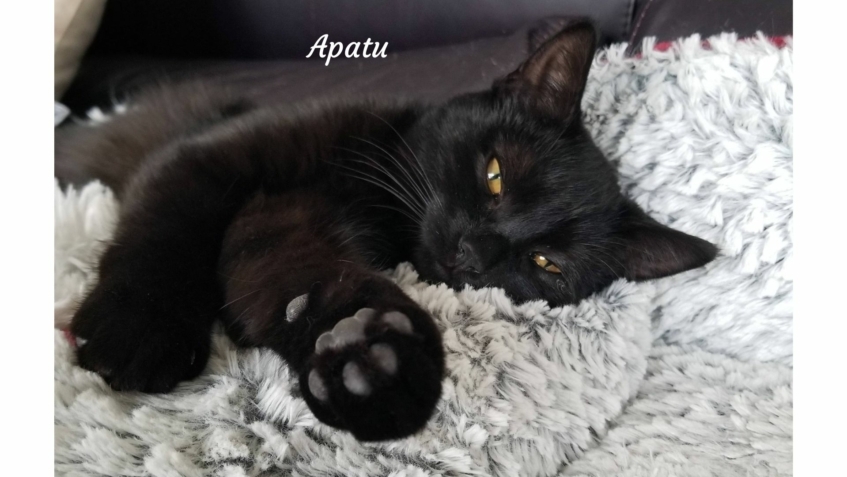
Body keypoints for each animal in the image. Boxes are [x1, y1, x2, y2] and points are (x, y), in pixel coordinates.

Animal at [55, 22, 717, 441]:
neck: (374, 200)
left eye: (546, 264)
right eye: (495, 175)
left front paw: (364, 353)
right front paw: (138, 329)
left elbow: (289, 279)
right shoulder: (208, 158)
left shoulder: (280, 225)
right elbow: (168, 225)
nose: (472, 255)